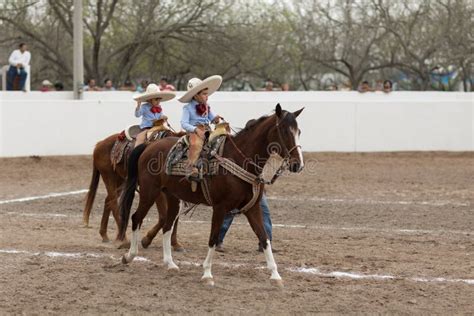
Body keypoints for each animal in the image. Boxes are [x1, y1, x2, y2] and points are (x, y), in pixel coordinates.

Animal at [118, 104, 304, 286]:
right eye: (285, 131)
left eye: (299, 131)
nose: (298, 165)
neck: (238, 159)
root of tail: (149, 146)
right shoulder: (220, 207)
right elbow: (213, 238)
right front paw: (207, 274)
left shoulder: (252, 208)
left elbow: (264, 238)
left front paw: (275, 275)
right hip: (149, 192)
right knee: (136, 218)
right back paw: (129, 256)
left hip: (173, 198)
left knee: (167, 226)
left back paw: (170, 264)